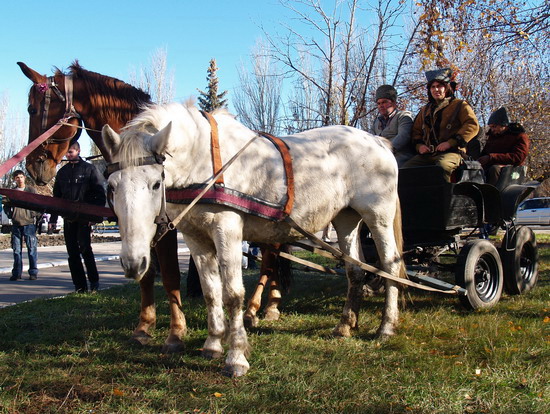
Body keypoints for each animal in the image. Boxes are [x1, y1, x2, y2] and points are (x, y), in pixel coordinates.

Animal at [103, 102, 406, 376]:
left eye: (156, 184)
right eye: (112, 186)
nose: (132, 263)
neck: (204, 162)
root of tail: (376, 141)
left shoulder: (228, 231)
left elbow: (232, 294)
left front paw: (236, 357)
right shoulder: (195, 237)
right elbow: (211, 292)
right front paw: (213, 344)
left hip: (378, 215)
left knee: (390, 266)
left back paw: (386, 327)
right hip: (346, 219)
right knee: (355, 271)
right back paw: (345, 325)